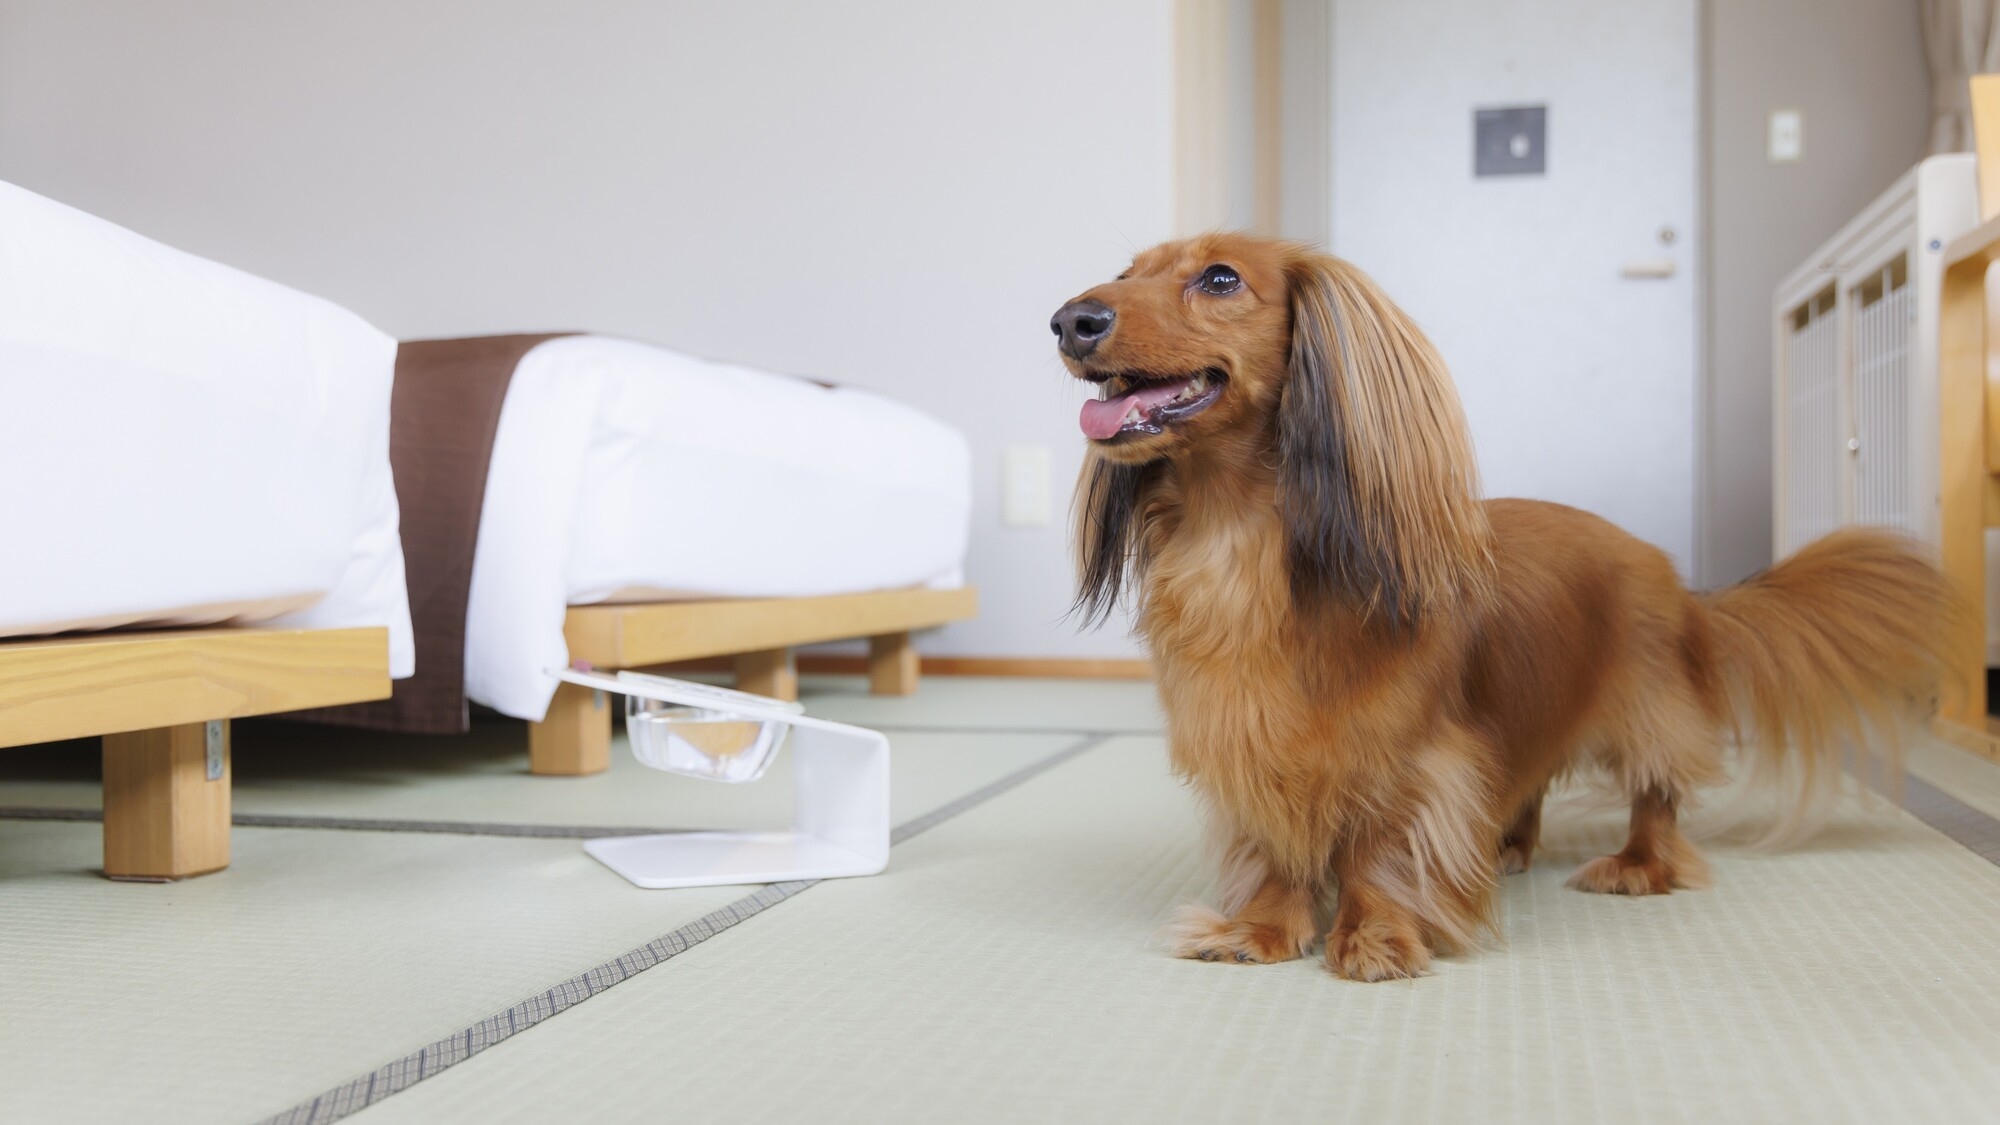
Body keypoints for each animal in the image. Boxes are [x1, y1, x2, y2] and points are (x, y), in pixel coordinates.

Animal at [1056, 232, 1960, 976]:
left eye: (1220, 278)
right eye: (1126, 271)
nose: (1070, 319)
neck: (1241, 544)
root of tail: (1672, 573)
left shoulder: (1411, 755)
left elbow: (1381, 847)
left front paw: (1375, 933)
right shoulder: (1253, 739)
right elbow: (1276, 842)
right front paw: (1263, 929)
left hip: (1647, 705)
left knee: (1658, 793)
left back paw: (1638, 865)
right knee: (1526, 781)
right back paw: (1508, 845)